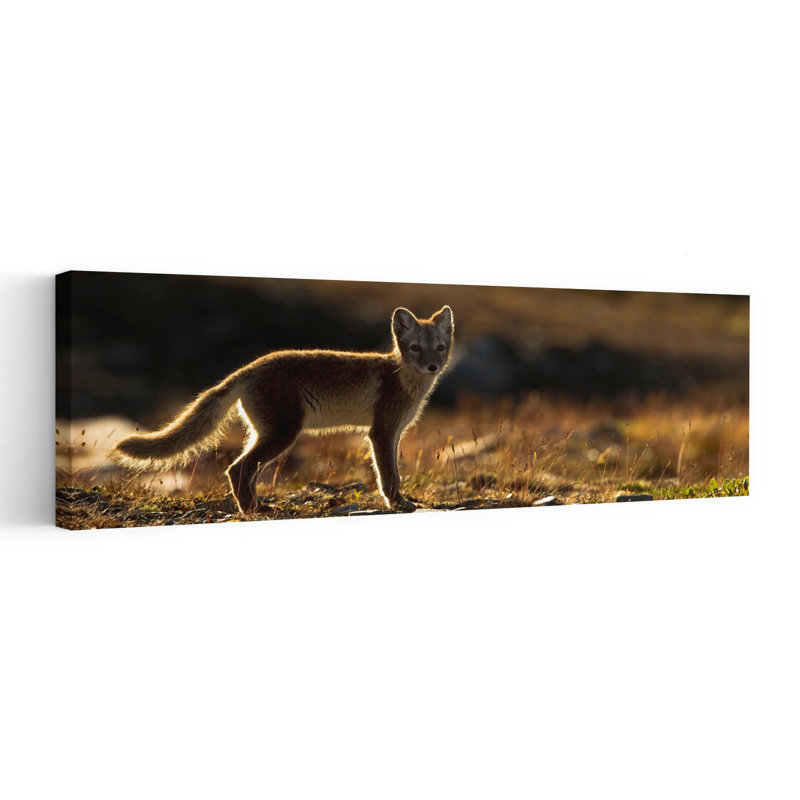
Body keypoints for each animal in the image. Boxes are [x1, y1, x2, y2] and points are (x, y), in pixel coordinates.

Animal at [110, 305, 454, 515]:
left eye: (440, 347)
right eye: (415, 348)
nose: (433, 367)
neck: (401, 376)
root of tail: (248, 369)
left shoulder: (391, 434)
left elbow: (393, 472)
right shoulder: (381, 432)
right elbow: (389, 477)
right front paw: (398, 504)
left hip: (263, 434)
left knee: (242, 469)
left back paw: (255, 507)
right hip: (283, 435)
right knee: (238, 468)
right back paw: (253, 510)